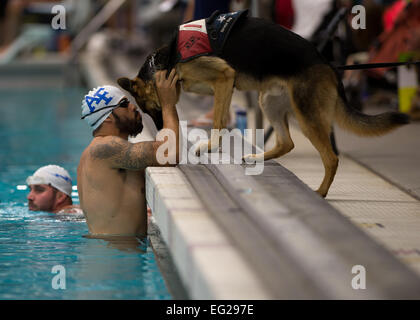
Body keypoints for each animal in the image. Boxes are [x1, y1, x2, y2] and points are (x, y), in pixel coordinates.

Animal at [118, 10, 410, 198]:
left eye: (149, 109)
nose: (159, 131)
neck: (167, 60)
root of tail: (328, 63)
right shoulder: (225, 85)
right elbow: (221, 117)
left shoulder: (224, 77)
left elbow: (219, 120)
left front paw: (210, 146)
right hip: (269, 101)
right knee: (287, 143)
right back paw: (256, 157)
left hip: (306, 116)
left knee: (331, 158)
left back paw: (320, 191)